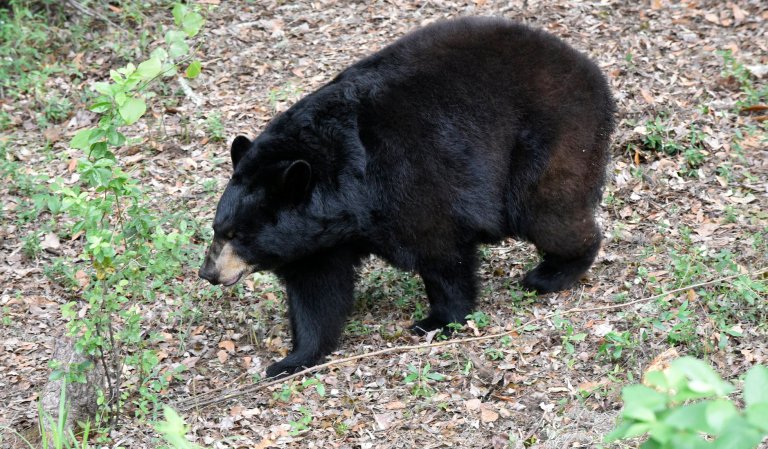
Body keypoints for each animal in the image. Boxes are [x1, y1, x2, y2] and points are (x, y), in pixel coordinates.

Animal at [199, 16, 615, 378]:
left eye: (237, 235)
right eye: (218, 228)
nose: (208, 273)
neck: (347, 186)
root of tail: (591, 70)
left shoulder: (409, 179)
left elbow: (441, 253)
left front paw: (437, 321)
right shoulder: (318, 238)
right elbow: (317, 291)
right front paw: (292, 359)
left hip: (551, 138)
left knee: (547, 212)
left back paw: (552, 274)